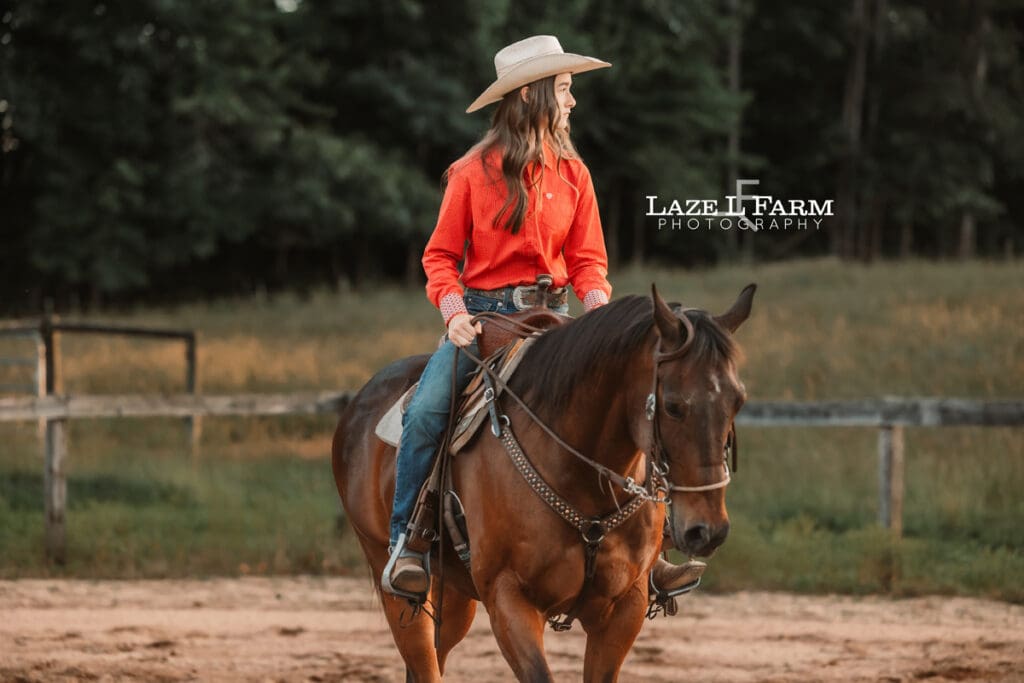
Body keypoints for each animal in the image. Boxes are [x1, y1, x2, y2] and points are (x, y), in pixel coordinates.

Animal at [331, 283, 755, 682]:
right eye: (673, 406)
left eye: (738, 401)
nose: (708, 530)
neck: (582, 482)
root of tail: (357, 403)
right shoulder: (509, 598)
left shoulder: (625, 606)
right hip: (394, 579)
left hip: (454, 593)